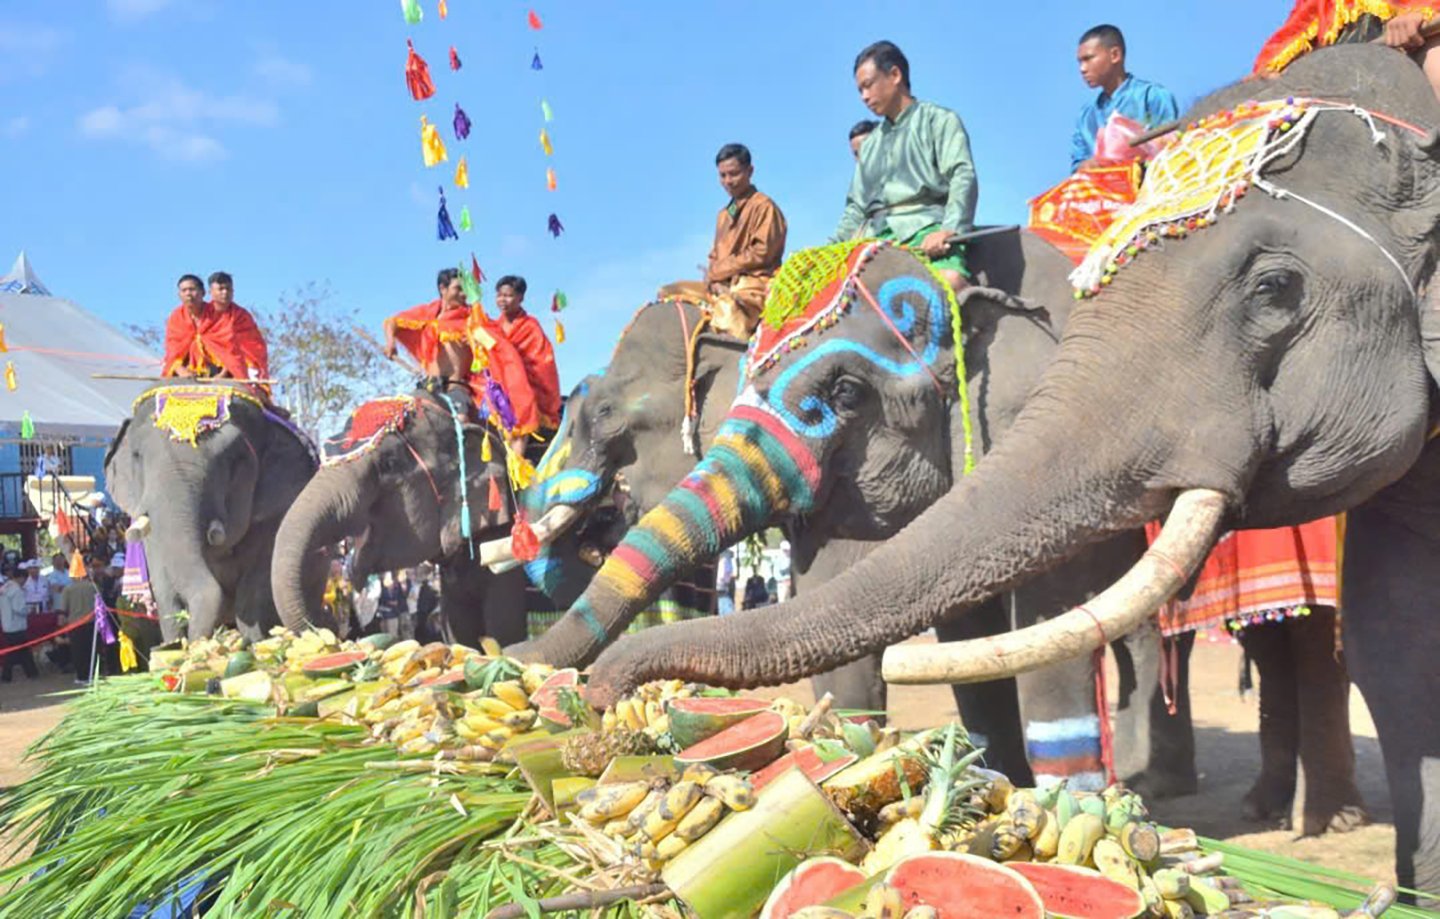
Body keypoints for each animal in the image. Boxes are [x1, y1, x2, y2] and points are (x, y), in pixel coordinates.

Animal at [105, 380, 321, 639]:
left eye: (235, 458)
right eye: (137, 455)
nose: (188, 621)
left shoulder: (278, 507)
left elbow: (257, 581)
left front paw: (254, 642)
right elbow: (161, 578)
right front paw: (175, 640)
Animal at [576, 45, 1440, 898]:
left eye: (843, 393)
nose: (597, 691)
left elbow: (1043, 623)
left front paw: (1052, 807)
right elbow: (969, 632)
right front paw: (976, 775)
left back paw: (1311, 818)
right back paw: (1188, 791)